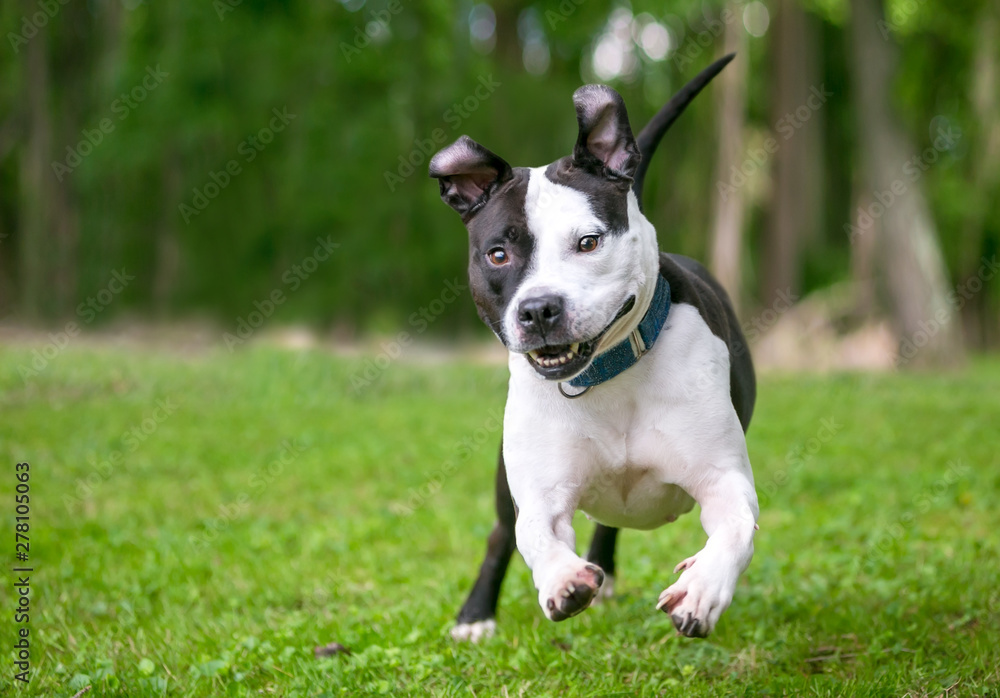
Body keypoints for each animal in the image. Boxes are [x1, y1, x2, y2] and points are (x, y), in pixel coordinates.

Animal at [428, 57, 756, 640]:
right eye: (497, 254)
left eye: (588, 242)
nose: (539, 309)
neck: (608, 375)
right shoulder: (540, 493)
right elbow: (536, 534)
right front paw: (562, 579)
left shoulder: (723, 478)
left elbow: (735, 529)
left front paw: (701, 589)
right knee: (502, 534)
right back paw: (475, 615)